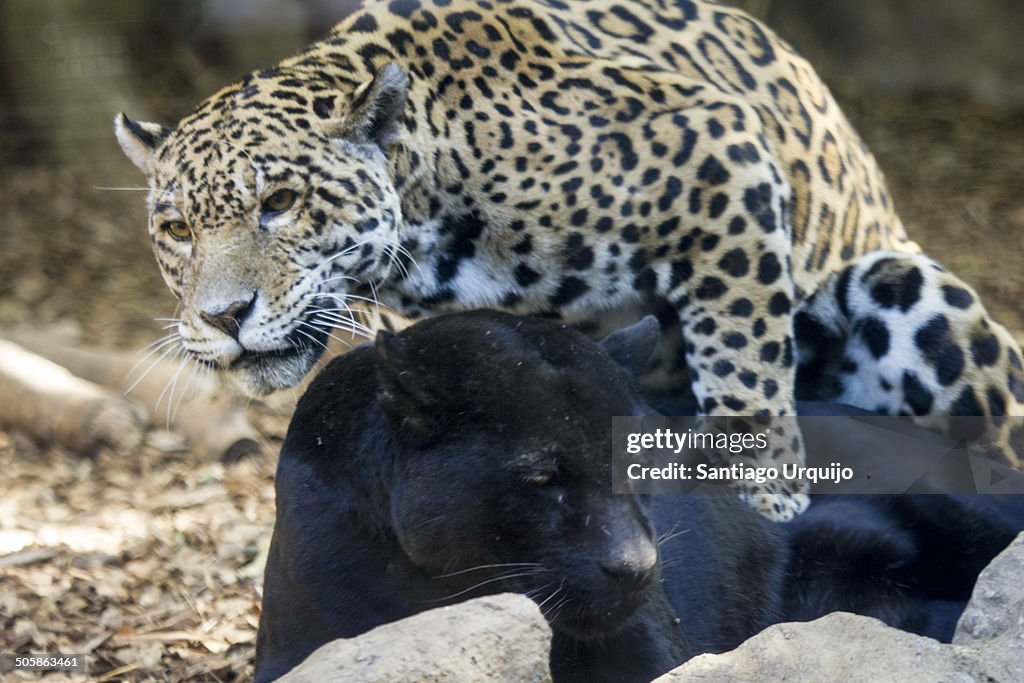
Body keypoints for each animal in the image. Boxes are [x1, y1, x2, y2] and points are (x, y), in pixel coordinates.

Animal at [114, 0, 1024, 520]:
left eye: (279, 203)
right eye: (177, 229)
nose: (223, 317)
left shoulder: (721, 153)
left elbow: (744, 352)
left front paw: (764, 488)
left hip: (905, 286)